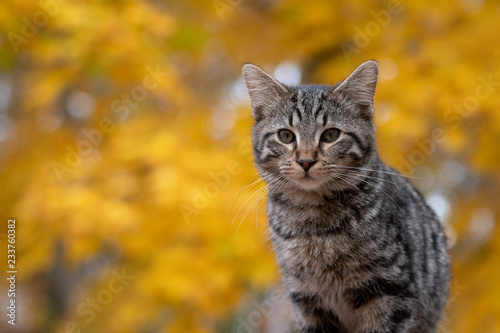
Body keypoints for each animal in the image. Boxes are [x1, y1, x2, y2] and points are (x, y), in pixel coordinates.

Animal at [242, 60, 450, 332]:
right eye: (286, 136)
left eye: (331, 135)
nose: (305, 160)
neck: (313, 226)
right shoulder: (308, 301)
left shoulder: (390, 293)